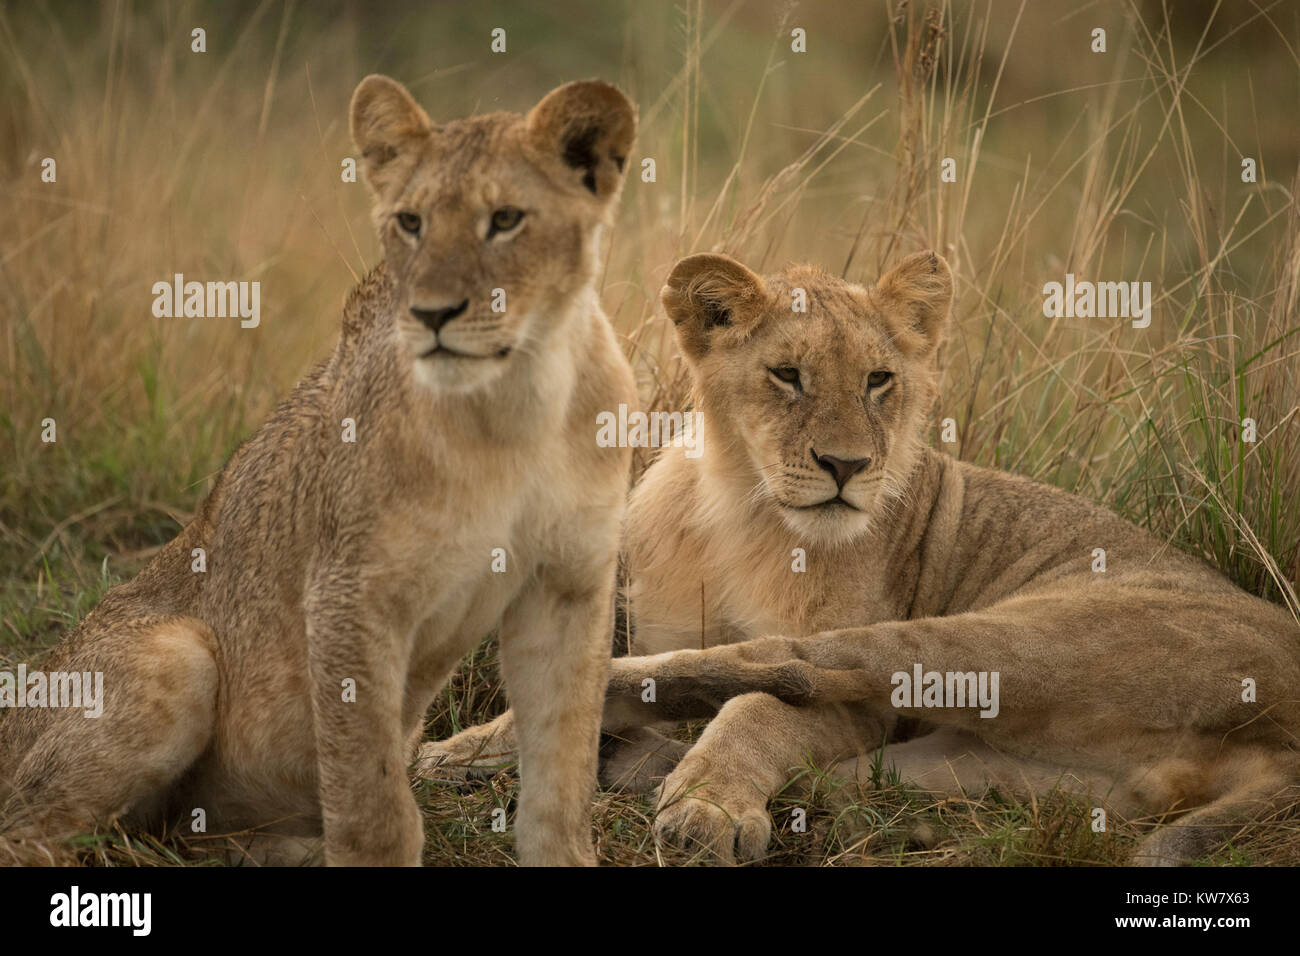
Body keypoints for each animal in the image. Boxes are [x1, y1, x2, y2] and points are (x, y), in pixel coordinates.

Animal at [0, 74, 637, 866]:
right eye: (410, 222)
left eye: (506, 219)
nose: (432, 313)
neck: (518, 401)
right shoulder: (349, 594)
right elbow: (373, 802)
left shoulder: (569, 583)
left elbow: (562, 773)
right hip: (179, 655)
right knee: (27, 829)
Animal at [428, 250, 1300, 866]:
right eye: (787, 375)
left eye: (880, 380)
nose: (846, 465)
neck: (739, 512)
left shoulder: (865, 706)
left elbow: (762, 710)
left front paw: (710, 808)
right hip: (1002, 767)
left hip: (1014, 646)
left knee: (783, 669)